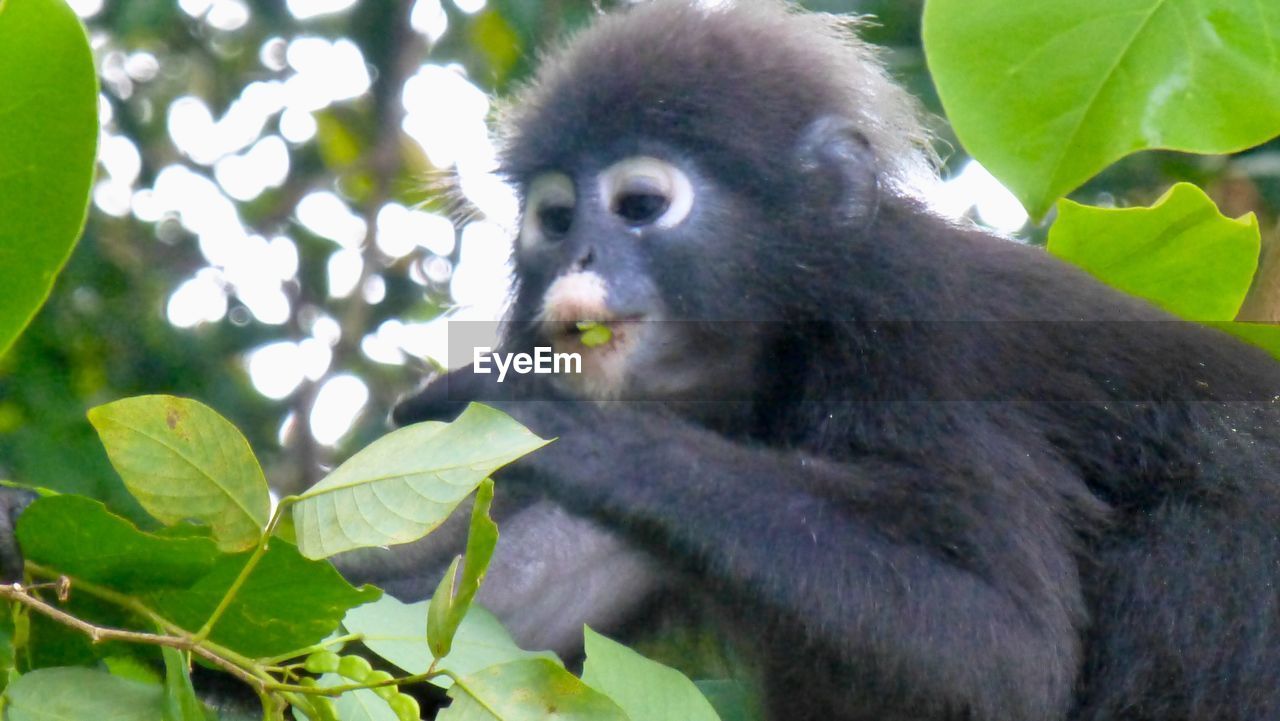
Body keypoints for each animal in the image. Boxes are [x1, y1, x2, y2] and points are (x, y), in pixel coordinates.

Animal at [378, 1, 1280, 721]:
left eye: (640, 205)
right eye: (556, 220)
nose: (580, 254)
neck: (792, 339)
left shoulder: (925, 332)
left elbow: (1007, 654)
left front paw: (560, 424)